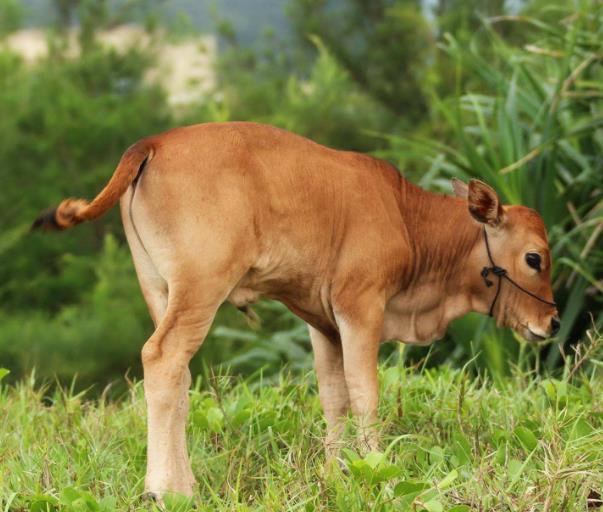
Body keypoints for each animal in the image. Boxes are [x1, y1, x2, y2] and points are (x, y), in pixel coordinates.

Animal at [33, 123, 560, 500]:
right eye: (534, 258)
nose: (552, 321)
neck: (405, 216)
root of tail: (154, 142)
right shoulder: (360, 307)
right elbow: (364, 393)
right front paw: (381, 472)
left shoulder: (323, 323)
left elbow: (333, 397)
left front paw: (335, 473)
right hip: (200, 290)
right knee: (162, 358)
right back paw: (163, 491)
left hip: (159, 290)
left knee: (176, 378)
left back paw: (185, 487)